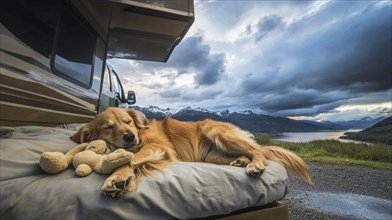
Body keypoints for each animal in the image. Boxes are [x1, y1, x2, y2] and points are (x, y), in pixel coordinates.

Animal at [69, 107, 310, 197]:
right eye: (108, 127)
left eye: (128, 121)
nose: (130, 136)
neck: (140, 133)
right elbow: (132, 159)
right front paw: (125, 179)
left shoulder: (159, 147)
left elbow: (133, 158)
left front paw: (117, 177)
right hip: (213, 155)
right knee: (245, 153)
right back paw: (241, 161)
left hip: (214, 132)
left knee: (258, 152)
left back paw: (255, 165)